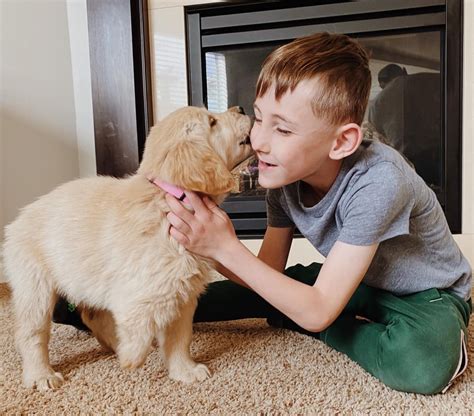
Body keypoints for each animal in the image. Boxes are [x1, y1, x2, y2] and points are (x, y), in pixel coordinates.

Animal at [3, 105, 254, 390]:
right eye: (212, 122)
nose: (240, 108)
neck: (167, 198)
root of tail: (18, 219)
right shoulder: (140, 290)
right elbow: (139, 324)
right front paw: (132, 357)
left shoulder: (182, 294)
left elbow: (180, 338)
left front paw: (185, 370)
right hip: (35, 283)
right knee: (32, 332)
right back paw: (41, 375)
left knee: (91, 315)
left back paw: (112, 344)